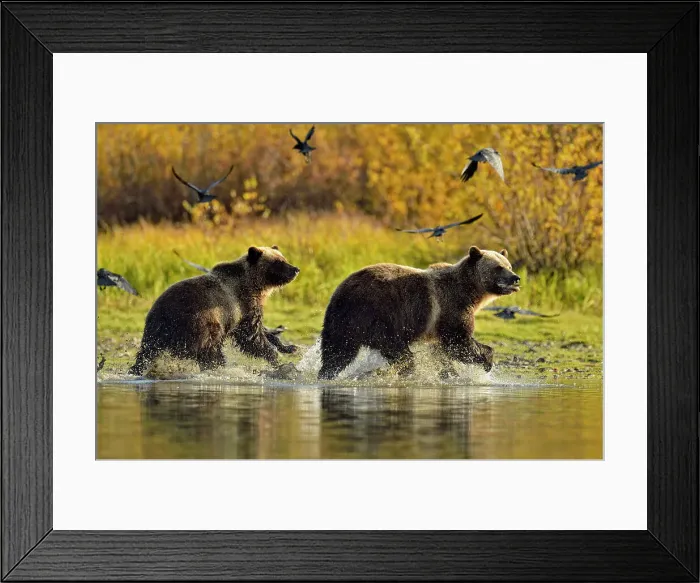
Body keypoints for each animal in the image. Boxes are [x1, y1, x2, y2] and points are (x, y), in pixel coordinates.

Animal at [129, 246, 299, 375]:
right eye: (278, 262)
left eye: (284, 259)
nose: (296, 269)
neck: (254, 286)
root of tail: (164, 316)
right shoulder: (243, 305)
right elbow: (251, 336)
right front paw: (273, 355)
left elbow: (261, 330)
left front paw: (289, 347)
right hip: (201, 324)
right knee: (211, 351)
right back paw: (219, 367)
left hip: (154, 332)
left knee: (146, 353)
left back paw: (136, 370)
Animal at [318, 246, 520, 380]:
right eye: (498, 267)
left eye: (509, 265)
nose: (516, 278)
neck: (470, 292)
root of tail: (342, 291)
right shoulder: (451, 307)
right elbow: (458, 341)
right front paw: (487, 361)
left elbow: (442, 351)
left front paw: (449, 373)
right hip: (381, 317)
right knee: (399, 351)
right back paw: (408, 371)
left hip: (342, 322)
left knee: (337, 351)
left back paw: (326, 373)